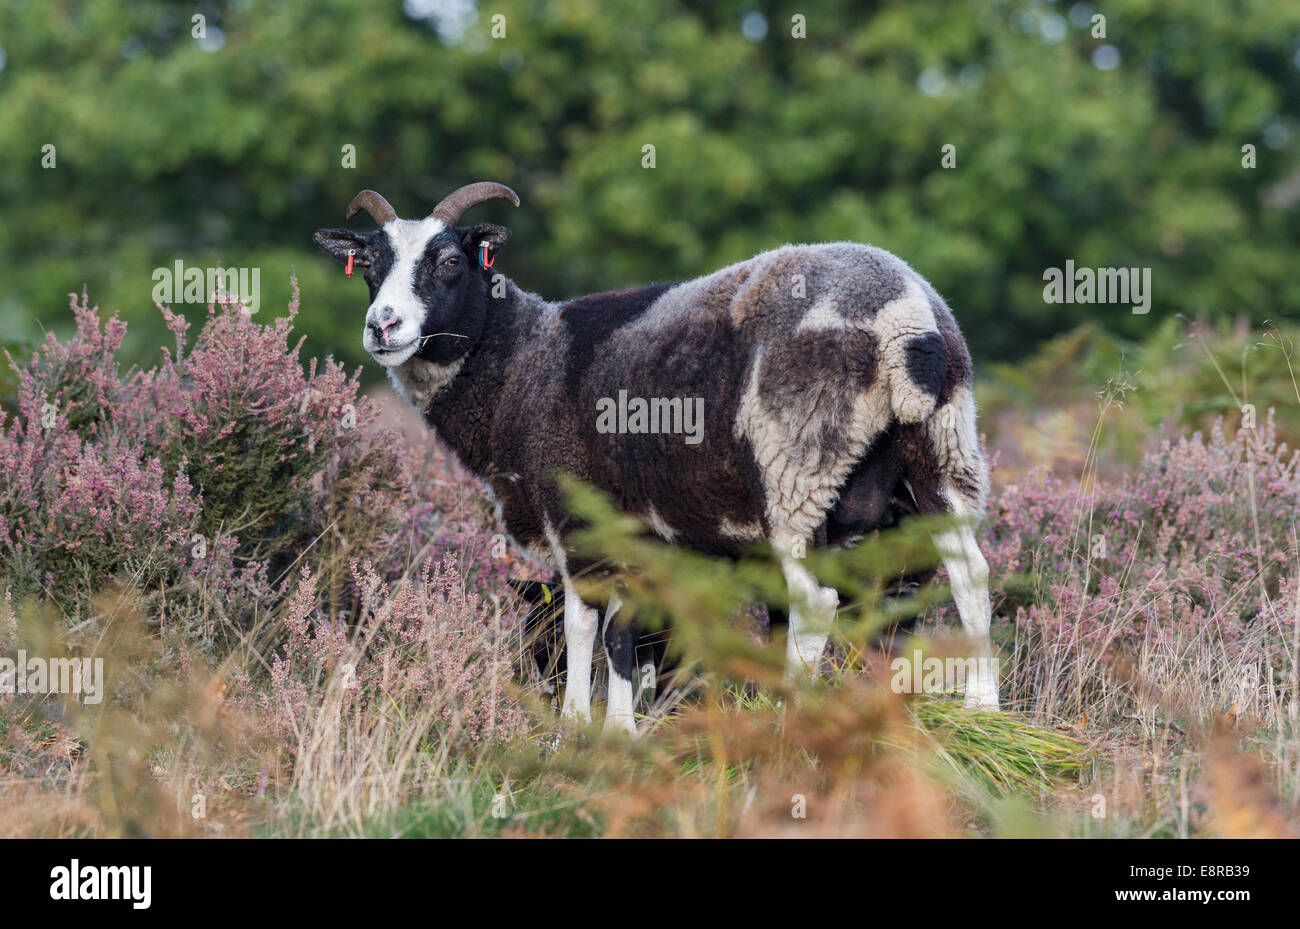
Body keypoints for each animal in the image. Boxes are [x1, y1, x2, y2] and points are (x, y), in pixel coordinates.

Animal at [312, 179, 993, 732]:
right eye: (368, 264)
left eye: (450, 261)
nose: (382, 326)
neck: (520, 362)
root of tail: (905, 322)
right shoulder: (647, 536)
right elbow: (629, 632)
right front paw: (621, 727)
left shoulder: (575, 515)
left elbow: (586, 623)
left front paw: (576, 728)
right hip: (941, 454)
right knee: (966, 576)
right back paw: (980, 709)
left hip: (798, 468)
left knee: (816, 603)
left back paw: (792, 718)